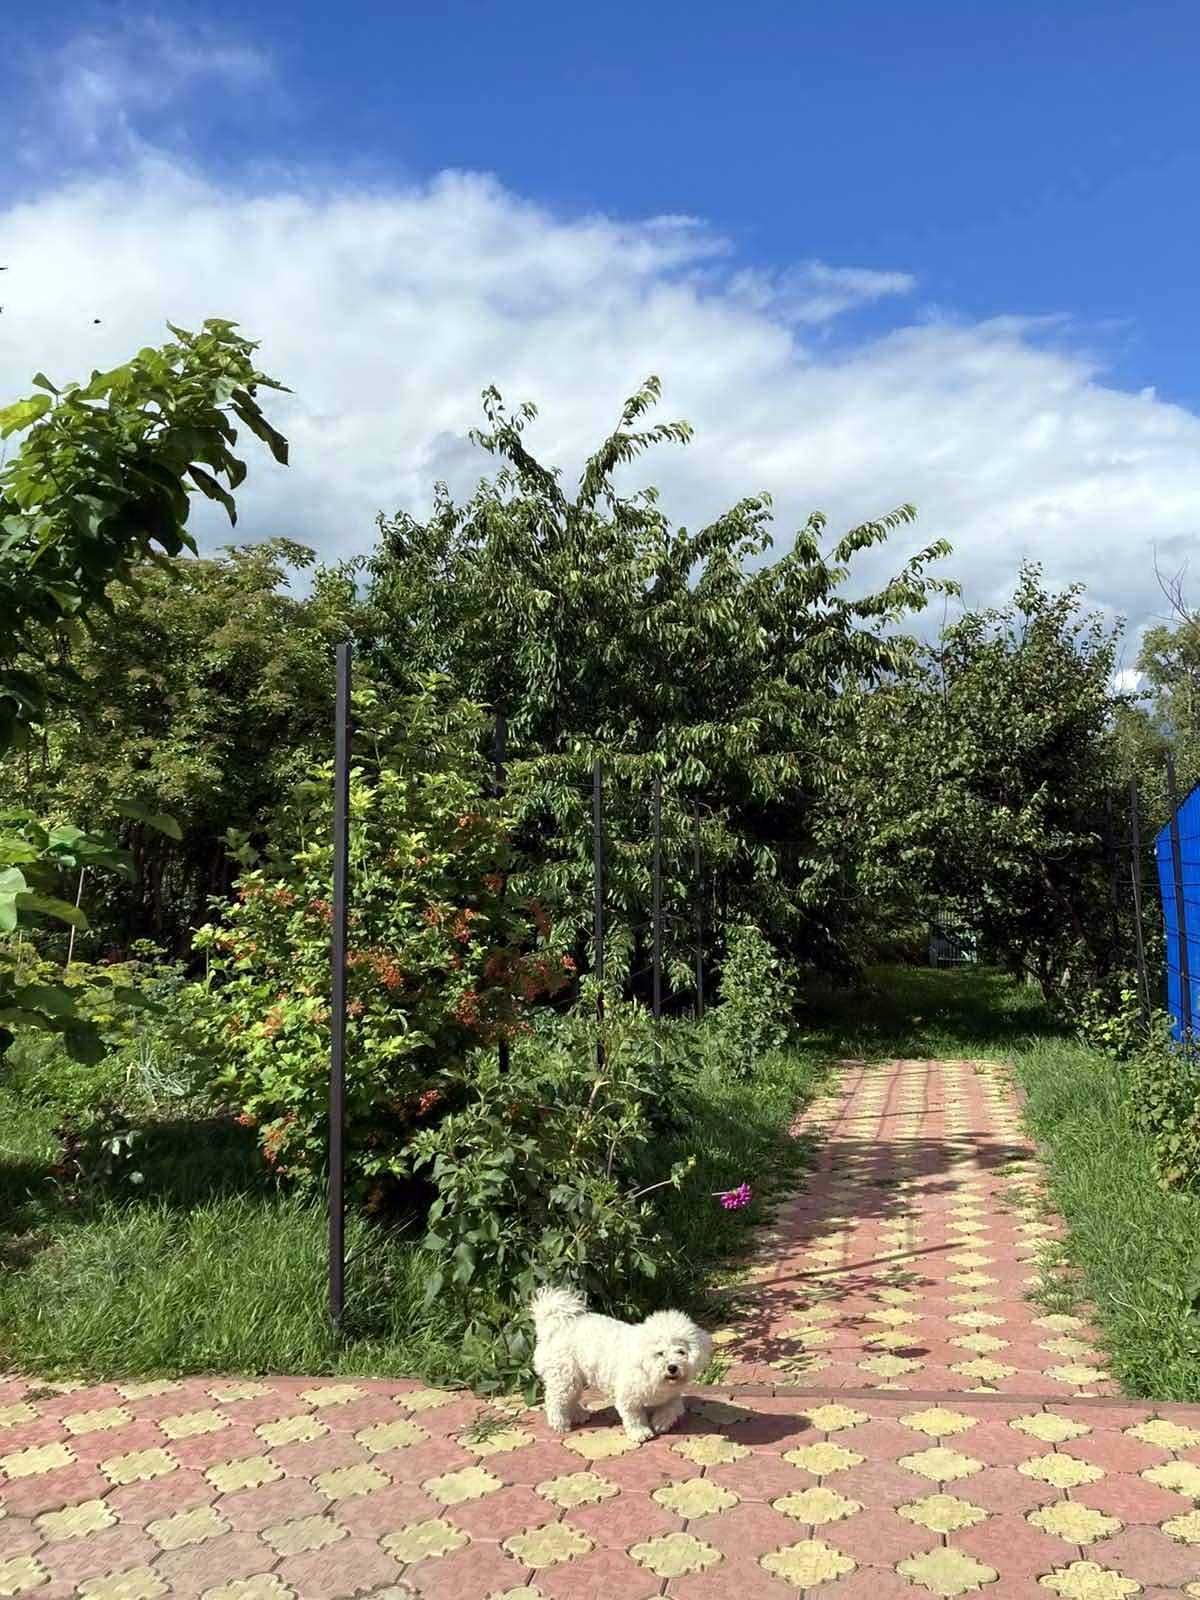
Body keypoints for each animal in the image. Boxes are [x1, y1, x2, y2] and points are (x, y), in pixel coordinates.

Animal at [528, 1286, 713, 1452]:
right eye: (660, 1353)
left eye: (681, 1352)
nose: (672, 1367)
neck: (649, 1371)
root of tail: (553, 1326)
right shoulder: (628, 1396)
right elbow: (634, 1417)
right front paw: (641, 1433)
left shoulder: (672, 1394)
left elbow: (673, 1406)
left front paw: (661, 1421)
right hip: (564, 1376)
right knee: (555, 1400)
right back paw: (559, 1423)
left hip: (575, 1377)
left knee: (570, 1398)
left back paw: (578, 1415)